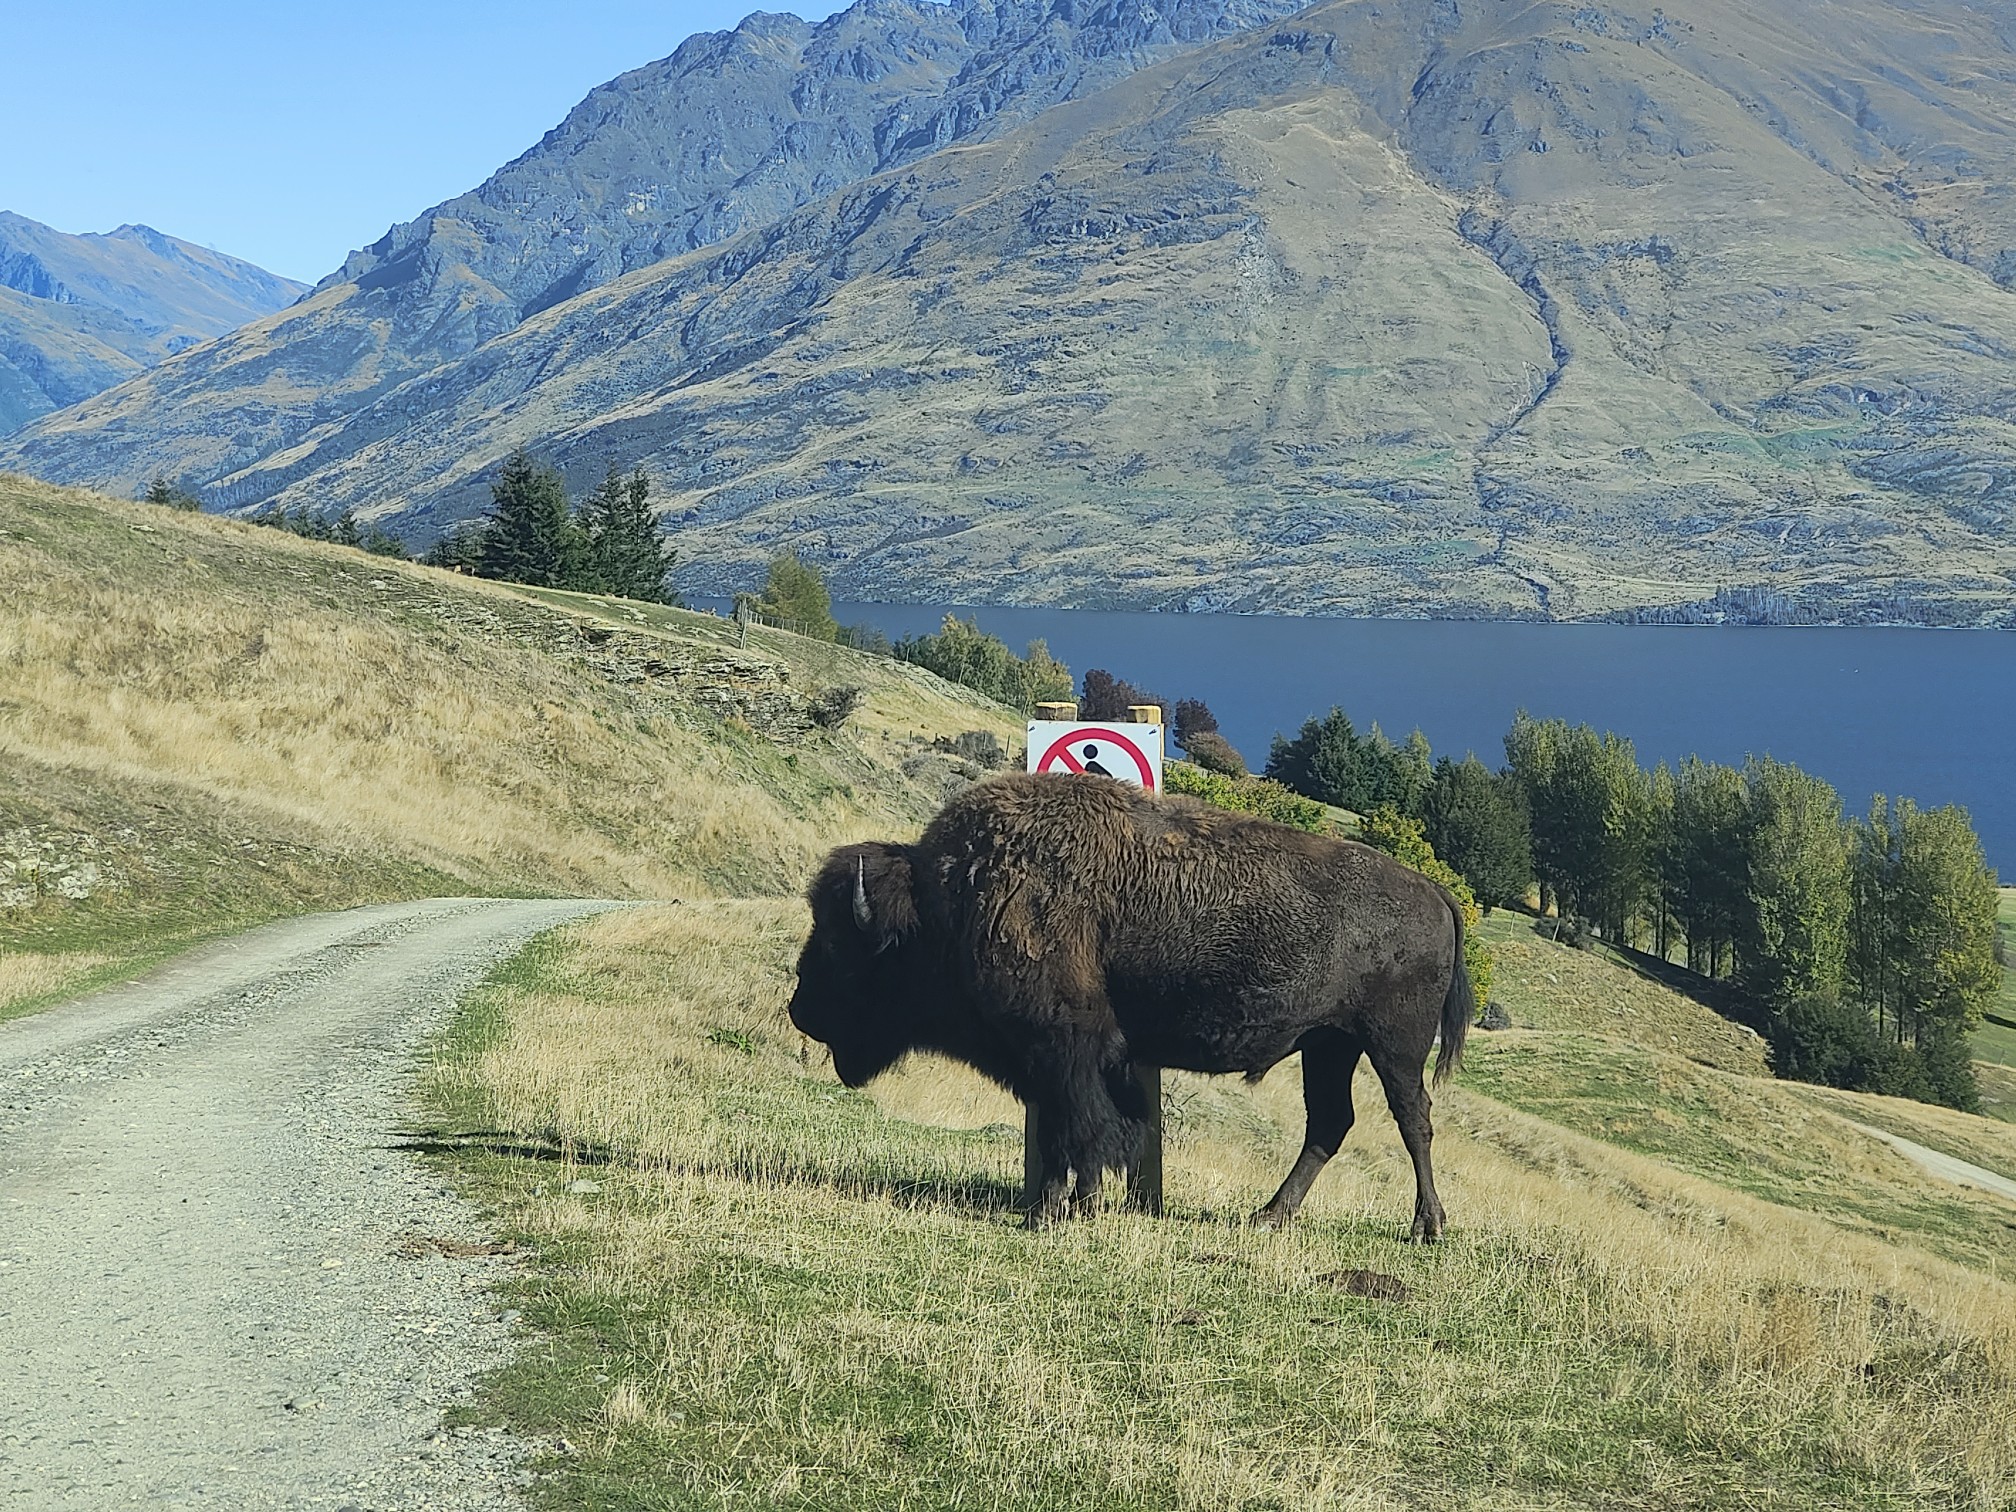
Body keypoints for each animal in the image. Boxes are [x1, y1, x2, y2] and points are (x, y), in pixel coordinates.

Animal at [782, 774, 1467, 1233]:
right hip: (1329, 1045)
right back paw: (1268, 1216)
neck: (954, 898)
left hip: (1392, 1046)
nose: (800, 1010)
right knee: (1329, 1123)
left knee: (1414, 1120)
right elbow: (1075, 1127)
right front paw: (1063, 1205)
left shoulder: (1065, 1046)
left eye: (843, 943)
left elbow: (1080, 1127)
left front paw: (1059, 1211)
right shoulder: (1059, 1057)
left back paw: (1426, 1227)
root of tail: (1434, 892)